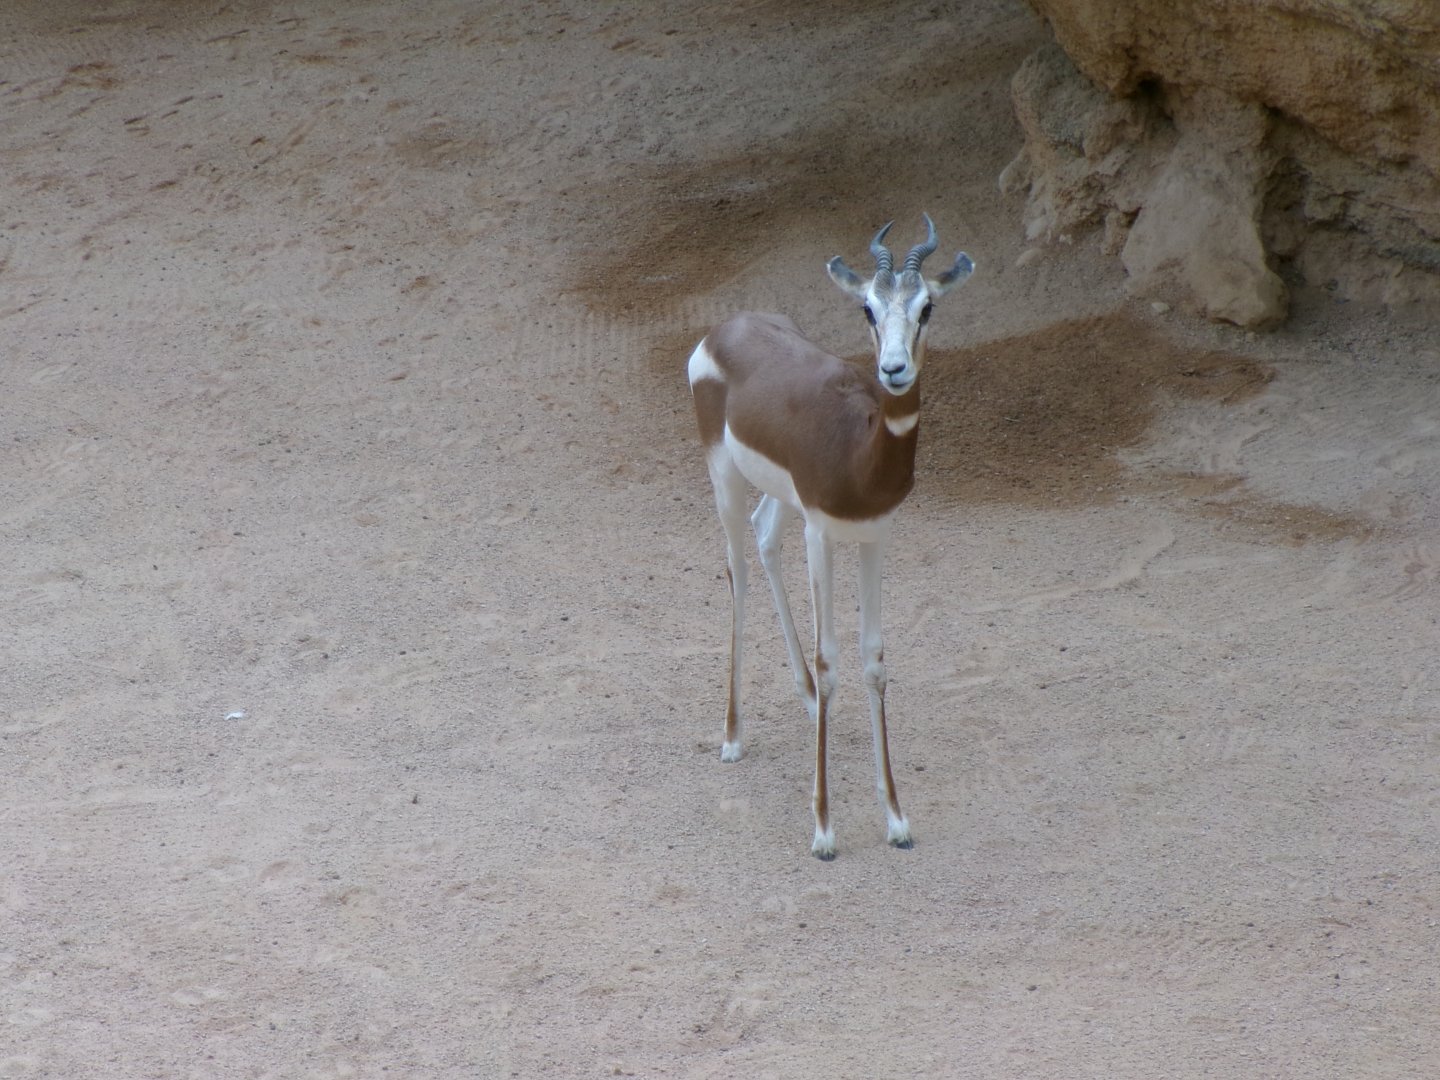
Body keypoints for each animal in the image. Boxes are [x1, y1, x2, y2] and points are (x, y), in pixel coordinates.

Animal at [688, 215, 974, 859]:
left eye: (926, 307)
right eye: (868, 307)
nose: (894, 370)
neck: (859, 448)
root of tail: (727, 327)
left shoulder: (874, 538)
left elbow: (872, 661)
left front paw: (896, 819)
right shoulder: (821, 534)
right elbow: (829, 659)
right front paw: (823, 829)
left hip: (782, 497)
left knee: (764, 537)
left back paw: (807, 703)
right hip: (724, 475)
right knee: (738, 567)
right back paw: (733, 736)